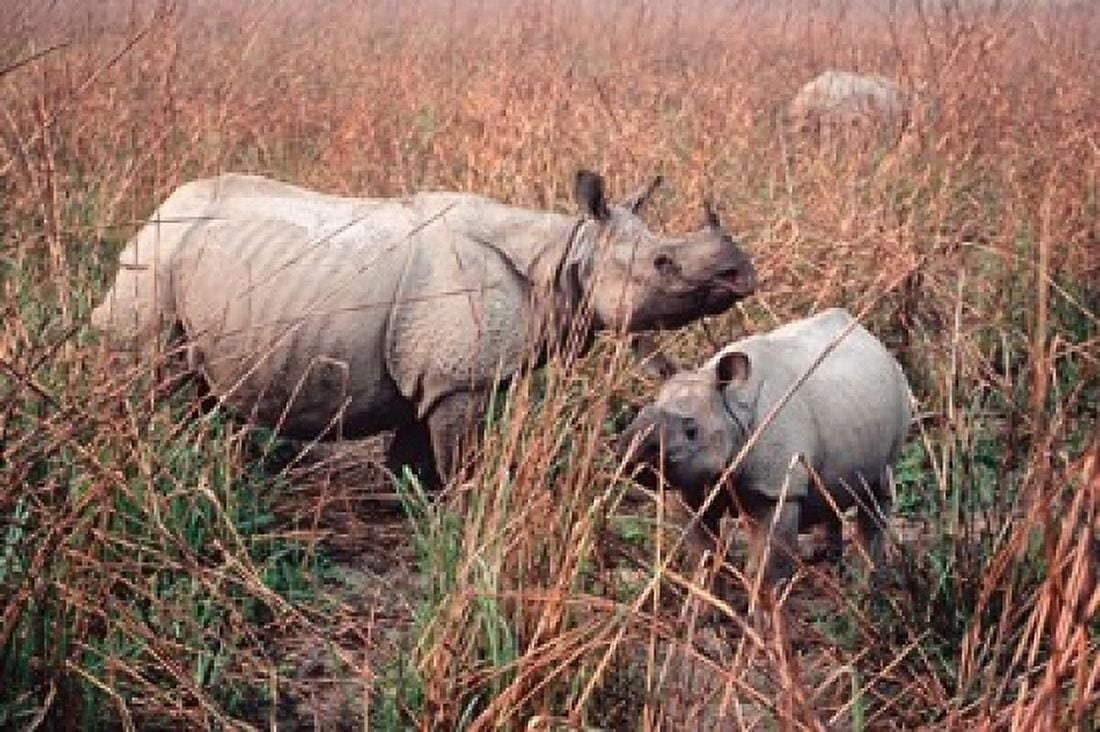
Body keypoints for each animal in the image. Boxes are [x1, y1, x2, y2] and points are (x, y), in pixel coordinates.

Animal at [92, 170, 755, 480]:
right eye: (663, 263)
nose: (743, 273)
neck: (566, 254)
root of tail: (154, 216)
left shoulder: (431, 377)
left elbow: (411, 456)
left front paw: (411, 508)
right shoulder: (458, 380)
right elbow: (457, 461)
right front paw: (455, 520)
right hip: (154, 267)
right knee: (153, 378)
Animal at [620, 308, 912, 592]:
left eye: (692, 431)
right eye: (640, 414)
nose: (632, 454)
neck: (731, 408)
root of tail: (872, 339)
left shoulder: (778, 489)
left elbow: (764, 571)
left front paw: (763, 607)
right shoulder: (692, 487)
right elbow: (703, 559)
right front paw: (706, 605)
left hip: (899, 389)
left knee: (879, 488)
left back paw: (861, 588)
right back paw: (822, 559)